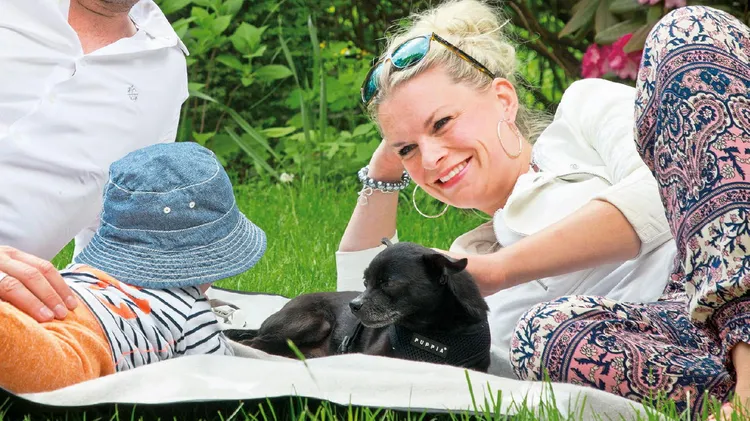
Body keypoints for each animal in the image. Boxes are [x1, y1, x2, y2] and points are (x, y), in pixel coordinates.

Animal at [224, 240, 492, 372]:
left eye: (388, 283)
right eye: (365, 282)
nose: (354, 305)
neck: (434, 333)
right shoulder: (372, 356)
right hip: (313, 321)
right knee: (254, 344)